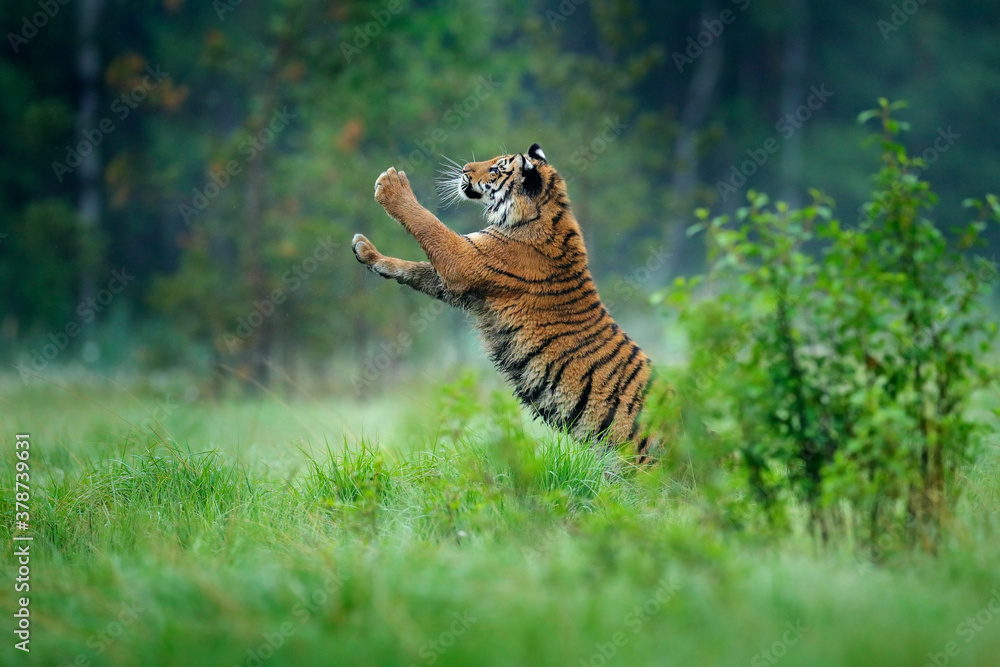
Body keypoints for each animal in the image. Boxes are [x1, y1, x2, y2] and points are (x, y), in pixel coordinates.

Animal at [354, 144, 664, 462]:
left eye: (496, 169)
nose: (464, 168)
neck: (544, 211)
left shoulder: (464, 260)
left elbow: (430, 225)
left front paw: (392, 186)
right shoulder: (464, 283)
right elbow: (412, 268)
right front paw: (367, 252)